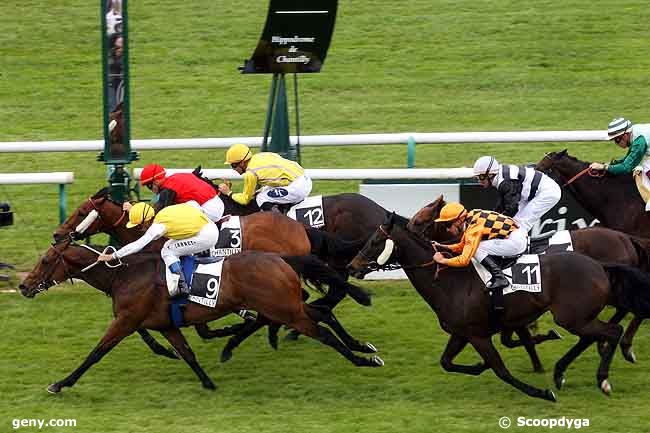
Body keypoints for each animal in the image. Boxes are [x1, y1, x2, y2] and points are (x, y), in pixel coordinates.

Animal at [20, 241, 382, 394]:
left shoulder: (125, 321)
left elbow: (96, 353)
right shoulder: (166, 325)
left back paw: (362, 359)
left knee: (321, 331)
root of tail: (280, 258)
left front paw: (60, 383)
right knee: (321, 312)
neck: (124, 275)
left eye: (46, 260)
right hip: (286, 305)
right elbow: (187, 353)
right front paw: (208, 382)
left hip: (285, 310)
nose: (24, 286)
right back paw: (363, 346)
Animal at [350, 214, 650, 400]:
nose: (352, 266)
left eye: (375, 241)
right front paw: (479, 365)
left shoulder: (477, 334)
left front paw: (541, 393)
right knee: (598, 333)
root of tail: (600, 265)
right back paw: (562, 373)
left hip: (572, 317)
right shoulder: (461, 332)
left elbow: (501, 370)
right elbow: (447, 362)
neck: (450, 281)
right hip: (578, 316)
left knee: (612, 331)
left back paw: (602, 379)